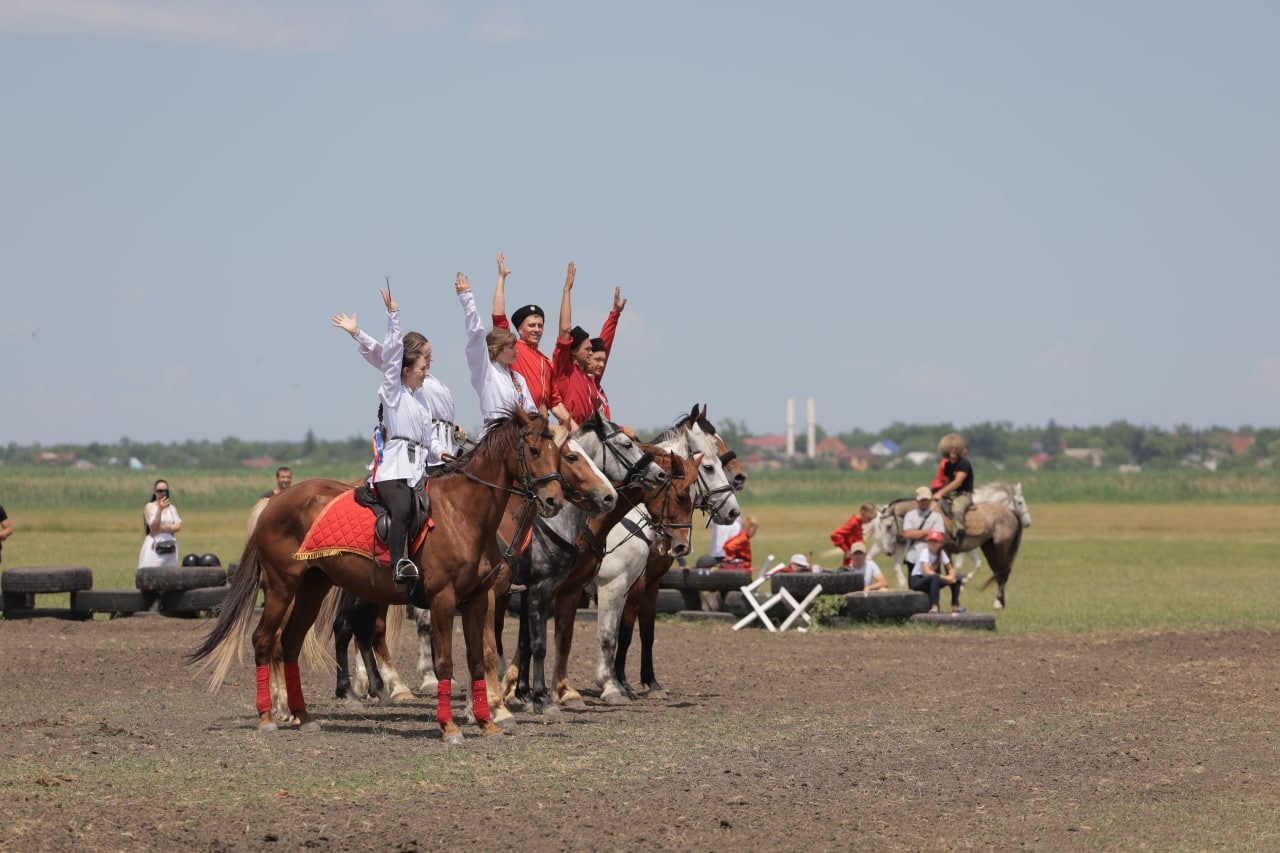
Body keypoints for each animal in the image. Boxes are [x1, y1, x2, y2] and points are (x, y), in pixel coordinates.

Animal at [184, 409, 614, 742]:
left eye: (561, 454)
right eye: (539, 451)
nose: (553, 501)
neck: (465, 514)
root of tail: (275, 503)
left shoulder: (478, 597)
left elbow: (480, 658)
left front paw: (488, 722)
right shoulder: (444, 599)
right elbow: (446, 662)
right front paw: (451, 727)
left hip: (313, 587)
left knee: (289, 643)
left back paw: (303, 716)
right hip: (281, 586)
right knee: (265, 640)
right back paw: (270, 716)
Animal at [875, 494, 1024, 607]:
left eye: (888, 526)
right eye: (879, 527)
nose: (888, 552)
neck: (926, 516)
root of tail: (1010, 511)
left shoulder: (945, 551)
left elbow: (949, 577)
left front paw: (955, 603)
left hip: (1001, 546)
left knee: (1003, 571)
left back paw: (998, 603)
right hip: (989, 547)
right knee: (998, 572)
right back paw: (1000, 602)